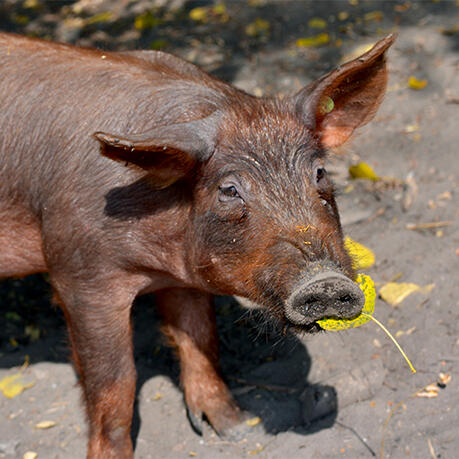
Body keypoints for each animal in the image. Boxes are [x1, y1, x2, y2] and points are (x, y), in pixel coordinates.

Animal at [0, 33, 396, 459]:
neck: (158, 261)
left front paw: (237, 429)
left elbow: (201, 339)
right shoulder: (78, 275)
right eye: (229, 190)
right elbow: (115, 382)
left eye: (319, 173)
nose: (325, 282)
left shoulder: (183, 281)